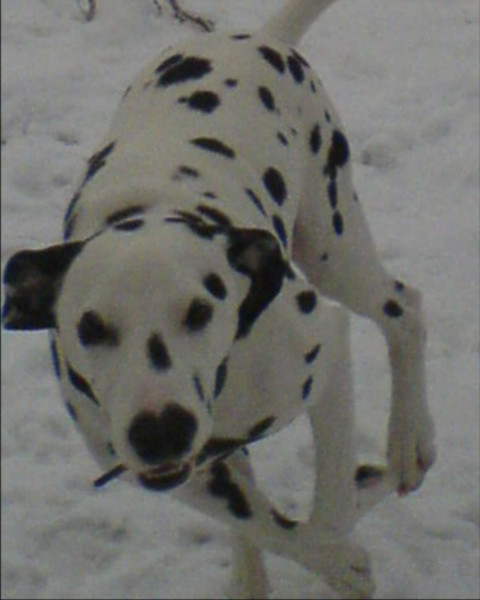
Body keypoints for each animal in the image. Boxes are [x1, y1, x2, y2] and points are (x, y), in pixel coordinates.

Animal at [2, 1, 436, 597]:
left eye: (200, 311)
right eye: (90, 328)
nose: (161, 430)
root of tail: (260, 36)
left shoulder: (325, 354)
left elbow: (329, 510)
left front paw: (351, 521)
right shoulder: (179, 474)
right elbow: (264, 522)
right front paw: (330, 553)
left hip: (332, 241)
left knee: (403, 309)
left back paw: (408, 443)